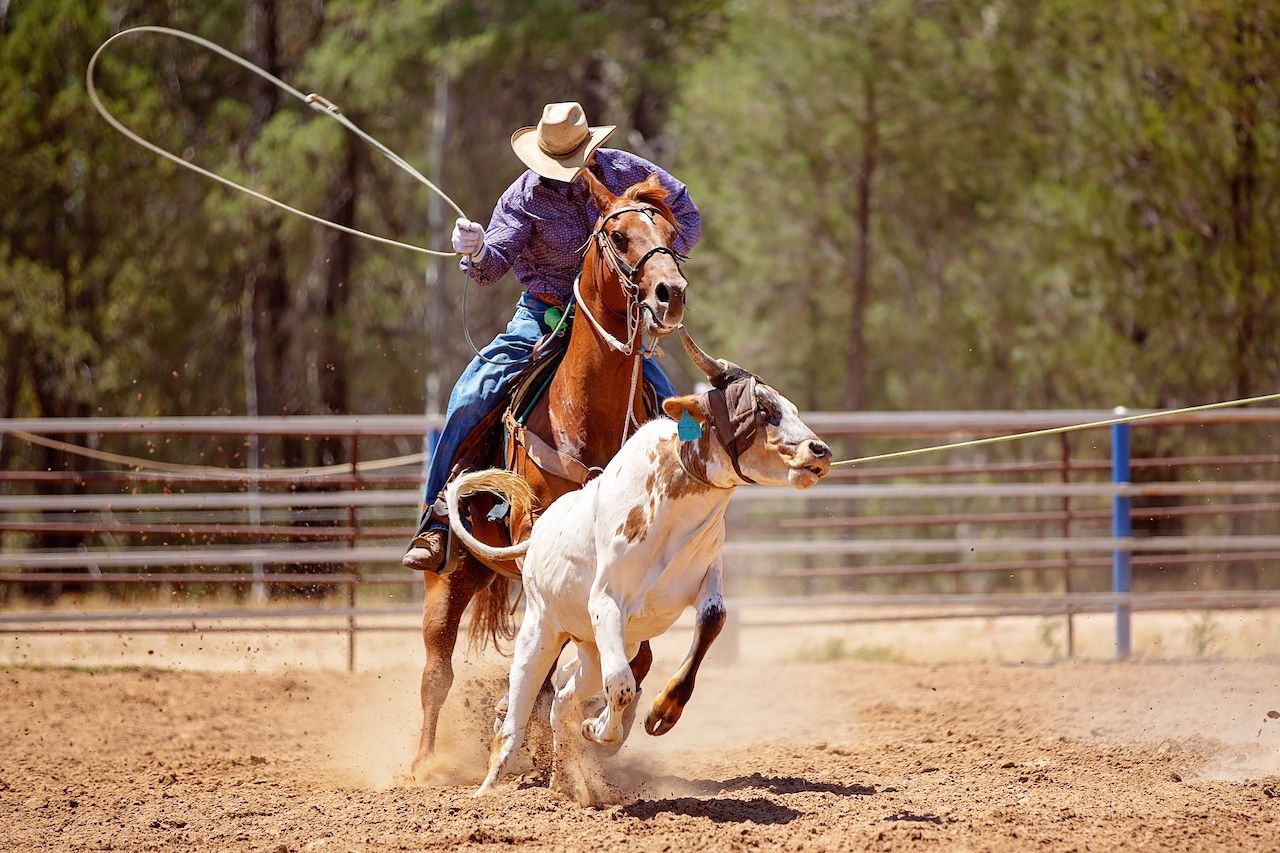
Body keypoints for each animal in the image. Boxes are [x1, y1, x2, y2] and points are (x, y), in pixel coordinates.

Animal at [445, 326, 834, 804]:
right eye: (762, 408)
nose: (820, 450)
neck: (670, 504)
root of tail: (537, 536)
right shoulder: (606, 603)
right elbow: (622, 685)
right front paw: (602, 730)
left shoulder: (706, 581)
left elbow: (712, 622)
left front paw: (661, 712)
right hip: (541, 632)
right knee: (516, 719)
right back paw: (486, 793)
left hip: (593, 648)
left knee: (564, 697)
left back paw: (566, 783)